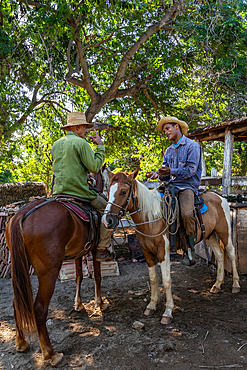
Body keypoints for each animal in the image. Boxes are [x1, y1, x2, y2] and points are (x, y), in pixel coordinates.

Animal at [5, 177, 104, 368]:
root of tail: (21, 216)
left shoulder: (79, 252)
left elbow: (79, 276)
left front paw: (78, 304)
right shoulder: (95, 249)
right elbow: (97, 276)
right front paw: (100, 303)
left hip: (19, 269)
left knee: (16, 303)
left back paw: (21, 342)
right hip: (48, 273)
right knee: (39, 308)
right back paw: (51, 354)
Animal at [101, 169, 240, 326]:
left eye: (124, 192)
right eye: (108, 190)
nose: (107, 221)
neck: (151, 217)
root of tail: (220, 197)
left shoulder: (163, 252)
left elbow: (166, 281)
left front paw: (168, 311)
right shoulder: (147, 252)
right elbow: (153, 279)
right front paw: (151, 305)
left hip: (224, 231)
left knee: (231, 253)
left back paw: (236, 285)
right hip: (209, 235)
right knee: (220, 254)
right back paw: (217, 285)